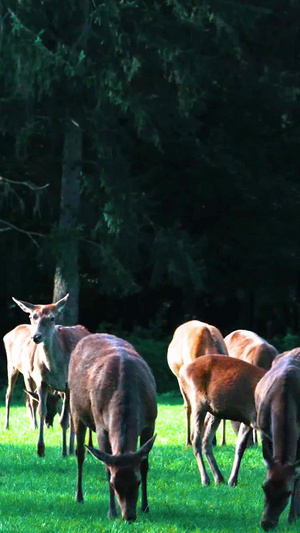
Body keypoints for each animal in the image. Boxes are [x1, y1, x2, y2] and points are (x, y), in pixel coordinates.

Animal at [11, 294, 90, 456]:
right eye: (31, 316)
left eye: (52, 318)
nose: (36, 336)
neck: (55, 369)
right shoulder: (42, 382)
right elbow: (42, 410)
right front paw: (40, 449)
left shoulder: (67, 386)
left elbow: (64, 419)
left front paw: (65, 452)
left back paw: (79, 448)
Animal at [68, 332, 157, 520]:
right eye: (113, 484)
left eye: (137, 481)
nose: (129, 516)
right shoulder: (102, 427)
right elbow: (107, 468)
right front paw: (111, 512)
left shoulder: (150, 423)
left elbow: (145, 465)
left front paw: (145, 507)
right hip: (75, 409)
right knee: (80, 454)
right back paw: (79, 497)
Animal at [178, 356, 264, 484]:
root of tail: (181, 373)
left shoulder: (248, 420)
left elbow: (240, 446)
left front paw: (233, 480)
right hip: (197, 401)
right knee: (196, 438)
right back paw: (205, 479)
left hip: (214, 412)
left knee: (206, 440)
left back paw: (219, 478)